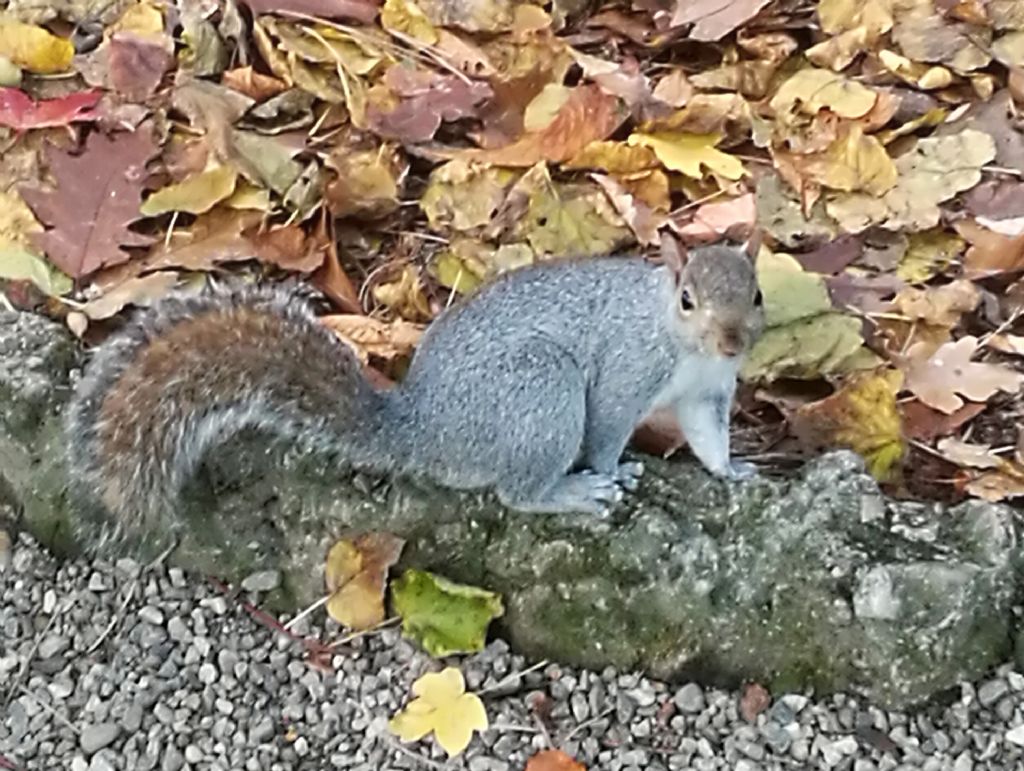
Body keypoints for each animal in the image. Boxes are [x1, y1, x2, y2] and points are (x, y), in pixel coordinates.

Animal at [66, 234, 761, 548]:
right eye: (687, 298)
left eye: (755, 294)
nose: (734, 341)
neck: (686, 347)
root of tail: (424, 429)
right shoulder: (627, 367)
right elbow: (609, 428)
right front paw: (611, 472)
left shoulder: (707, 393)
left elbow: (708, 436)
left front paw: (734, 472)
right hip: (540, 391)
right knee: (516, 492)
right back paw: (571, 492)